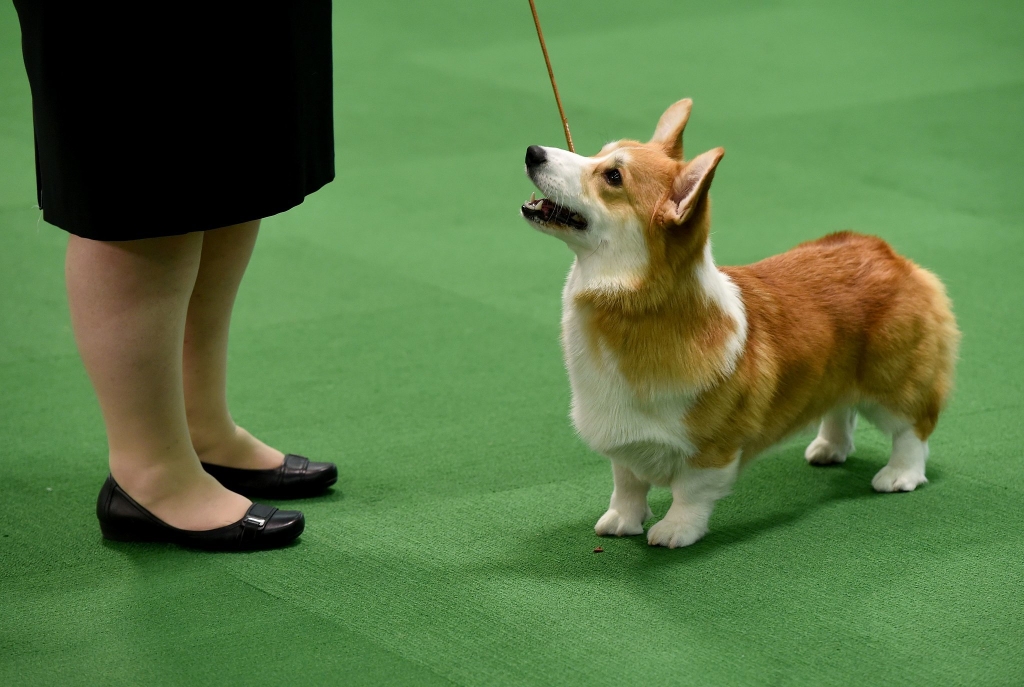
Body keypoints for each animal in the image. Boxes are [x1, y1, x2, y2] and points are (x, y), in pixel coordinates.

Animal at [520, 99, 958, 548]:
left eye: (612, 176)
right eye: (599, 153)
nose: (533, 152)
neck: (632, 305)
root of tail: (889, 254)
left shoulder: (713, 447)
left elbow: (690, 492)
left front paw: (675, 530)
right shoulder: (624, 439)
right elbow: (626, 483)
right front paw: (622, 521)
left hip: (893, 381)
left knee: (914, 427)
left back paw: (900, 475)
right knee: (840, 406)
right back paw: (829, 449)